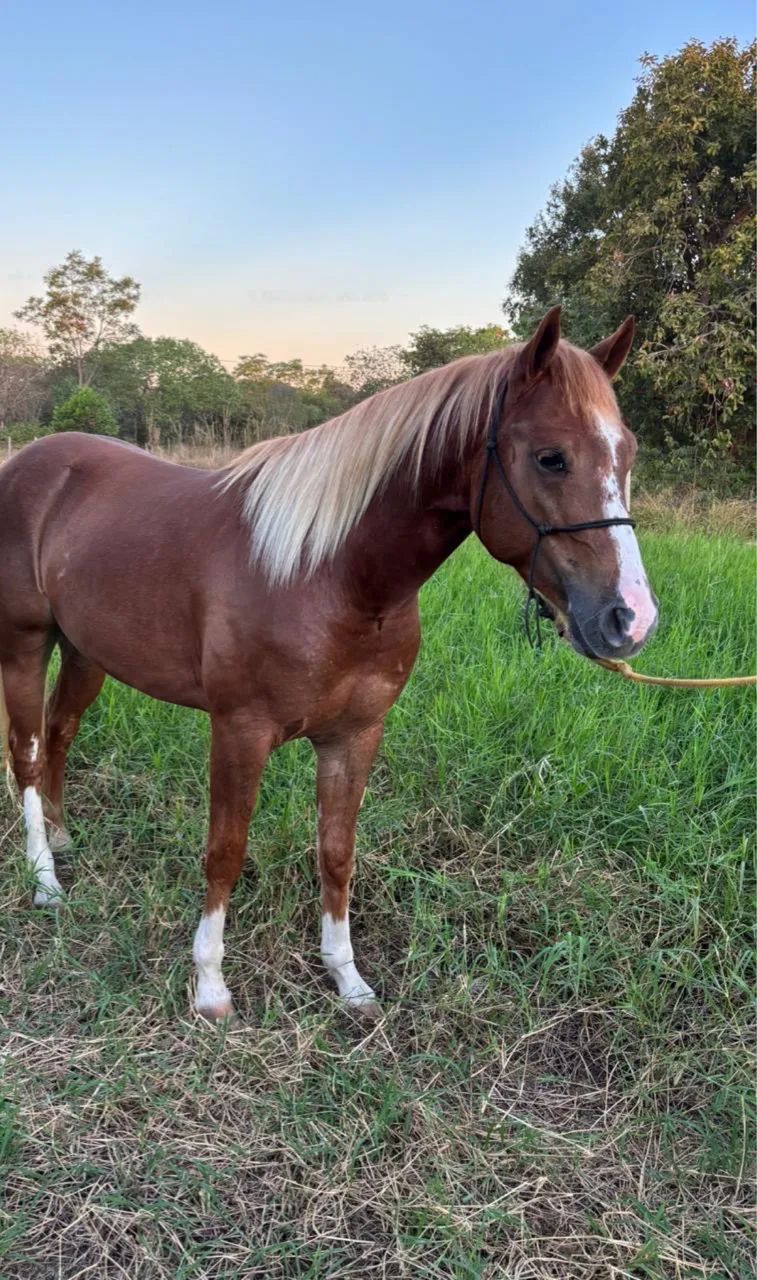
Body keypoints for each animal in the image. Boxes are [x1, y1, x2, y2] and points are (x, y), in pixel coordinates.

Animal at [0, 306, 657, 1021]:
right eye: (550, 457)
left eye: (627, 452)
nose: (631, 618)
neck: (330, 575)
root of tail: (29, 462)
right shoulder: (240, 731)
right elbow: (226, 851)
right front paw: (211, 985)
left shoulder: (355, 735)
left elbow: (337, 852)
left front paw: (347, 978)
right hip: (26, 643)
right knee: (27, 754)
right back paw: (44, 880)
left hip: (85, 650)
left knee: (59, 734)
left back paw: (61, 840)